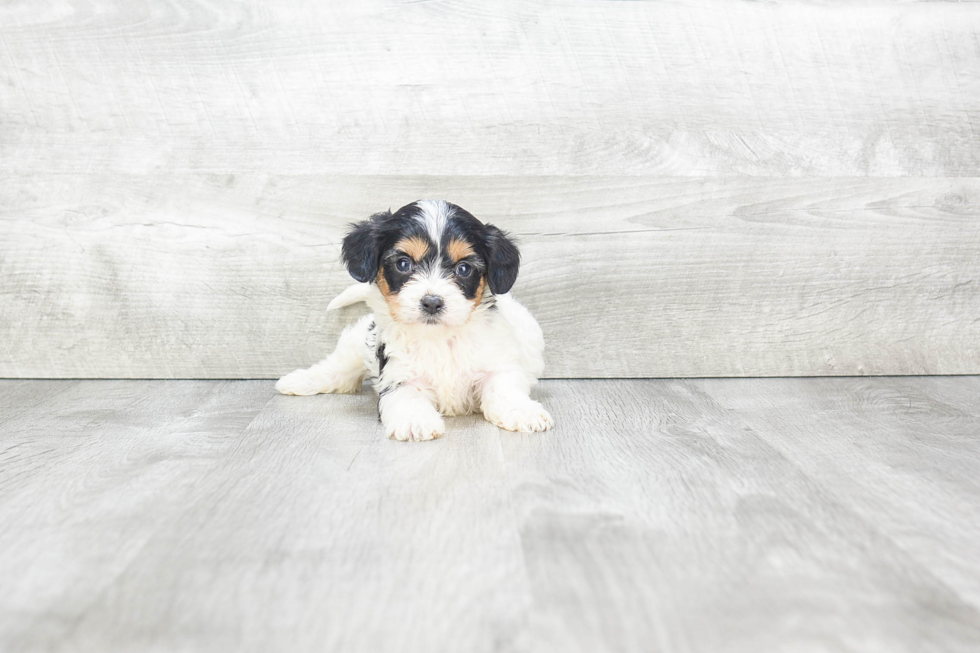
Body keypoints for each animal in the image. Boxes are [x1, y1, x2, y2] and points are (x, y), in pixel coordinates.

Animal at [274, 200, 552, 444]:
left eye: (463, 269)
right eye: (403, 264)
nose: (432, 302)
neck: (439, 337)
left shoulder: (497, 362)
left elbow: (504, 388)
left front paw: (523, 412)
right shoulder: (399, 374)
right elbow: (407, 397)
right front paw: (415, 422)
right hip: (356, 345)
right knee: (338, 368)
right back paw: (298, 381)